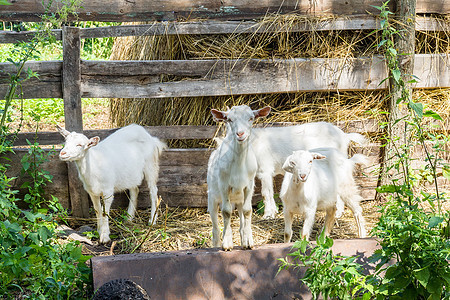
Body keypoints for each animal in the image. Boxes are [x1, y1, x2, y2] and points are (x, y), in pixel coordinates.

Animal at [208, 104, 270, 250]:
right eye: (230, 119)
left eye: (251, 118)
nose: (240, 134)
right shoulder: (224, 185)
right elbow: (226, 212)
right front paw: (227, 244)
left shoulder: (249, 185)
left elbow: (248, 211)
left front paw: (249, 242)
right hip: (212, 198)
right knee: (215, 227)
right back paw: (217, 244)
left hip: (239, 199)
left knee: (241, 220)